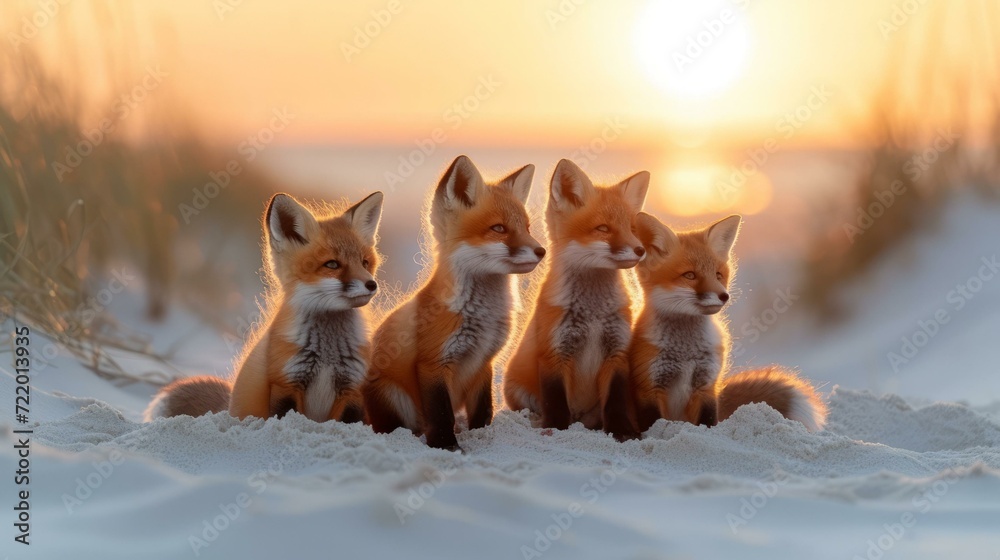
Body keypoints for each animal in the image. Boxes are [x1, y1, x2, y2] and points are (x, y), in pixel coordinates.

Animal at [144, 191, 384, 423]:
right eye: (332, 264)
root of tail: (228, 405)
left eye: (365, 263)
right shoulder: (284, 383)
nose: (371, 285)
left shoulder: (352, 389)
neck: (327, 354)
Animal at [362, 155, 545, 451]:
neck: (483, 318)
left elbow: (483, 410)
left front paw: (483, 434)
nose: (542, 251)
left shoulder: (484, 361)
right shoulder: (433, 363)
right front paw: (446, 445)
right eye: (499, 229)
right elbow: (441, 414)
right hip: (392, 393)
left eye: (527, 228)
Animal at [503, 159, 649, 441]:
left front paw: (622, 432)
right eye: (603, 229)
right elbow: (556, 403)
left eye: (633, 229)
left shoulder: (617, 352)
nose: (640, 250)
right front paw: (557, 429)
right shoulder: (554, 353)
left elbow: (615, 403)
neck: (592, 315)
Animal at [627, 212, 827, 433]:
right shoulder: (648, 388)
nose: (724, 296)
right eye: (690, 275)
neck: (686, 353)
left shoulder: (707, 386)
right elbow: (654, 426)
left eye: (718, 275)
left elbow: (708, 423)